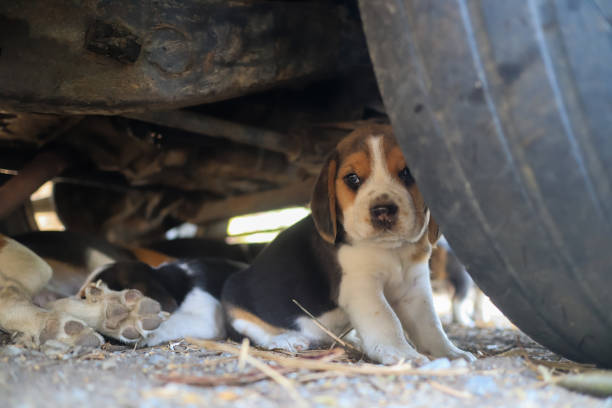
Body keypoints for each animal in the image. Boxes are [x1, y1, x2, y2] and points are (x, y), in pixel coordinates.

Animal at [222, 124, 476, 364]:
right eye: (352, 178)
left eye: (407, 172)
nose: (383, 210)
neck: (391, 250)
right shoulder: (359, 285)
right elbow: (386, 318)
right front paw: (402, 353)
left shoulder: (413, 286)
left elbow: (429, 322)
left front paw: (450, 352)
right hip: (234, 295)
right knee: (249, 331)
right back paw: (285, 339)